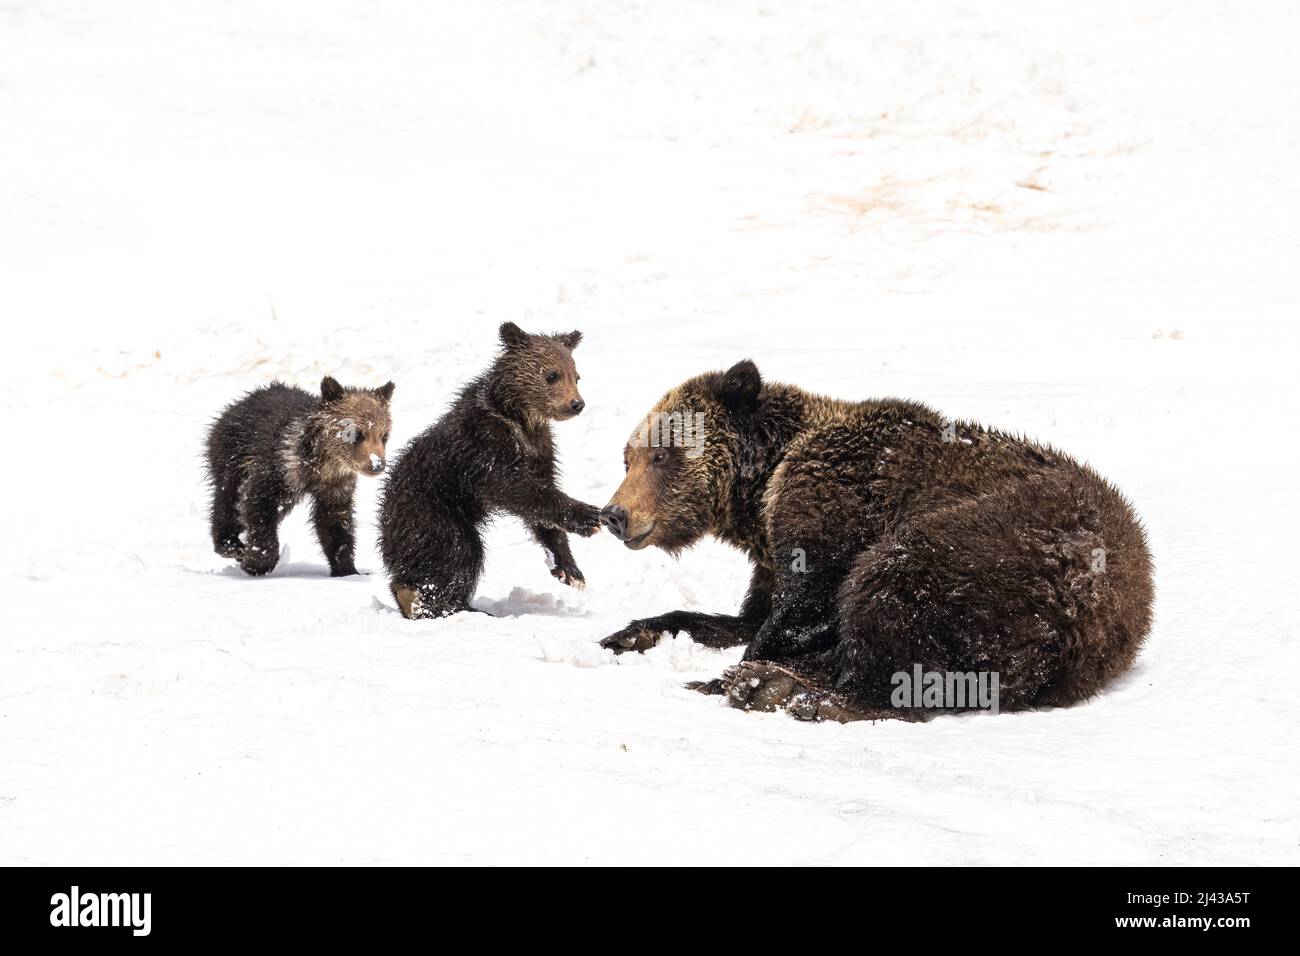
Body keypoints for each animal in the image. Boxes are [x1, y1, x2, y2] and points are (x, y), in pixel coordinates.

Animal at [204, 379, 390, 574]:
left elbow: (334, 522)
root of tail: (236, 405)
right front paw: (256, 561)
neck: (321, 465)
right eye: (357, 433)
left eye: (384, 435)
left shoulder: (335, 486)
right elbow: (257, 501)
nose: (377, 464)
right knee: (228, 497)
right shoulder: (281, 467)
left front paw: (347, 570)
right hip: (232, 454)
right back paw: (230, 544)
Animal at [377, 323, 598, 621]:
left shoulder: (541, 451)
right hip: (430, 513)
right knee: (459, 553)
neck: (520, 418)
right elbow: (515, 489)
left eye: (577, 376)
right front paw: (588, 516)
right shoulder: (484, 446)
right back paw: (434, 604)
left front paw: (570, 570)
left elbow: (541, 508)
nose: (577, 404)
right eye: (552, 375)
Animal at [598, 361, 1159, 723]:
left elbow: (797, 612)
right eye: (628, 458)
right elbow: (744, 618)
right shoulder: (771, 557)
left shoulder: (832, 500)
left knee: (890, 604)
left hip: (990, 551)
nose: (615, 515)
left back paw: (774, 688)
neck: (763, 490)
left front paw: (734, 669)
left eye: (663, 454)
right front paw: (629, 634)